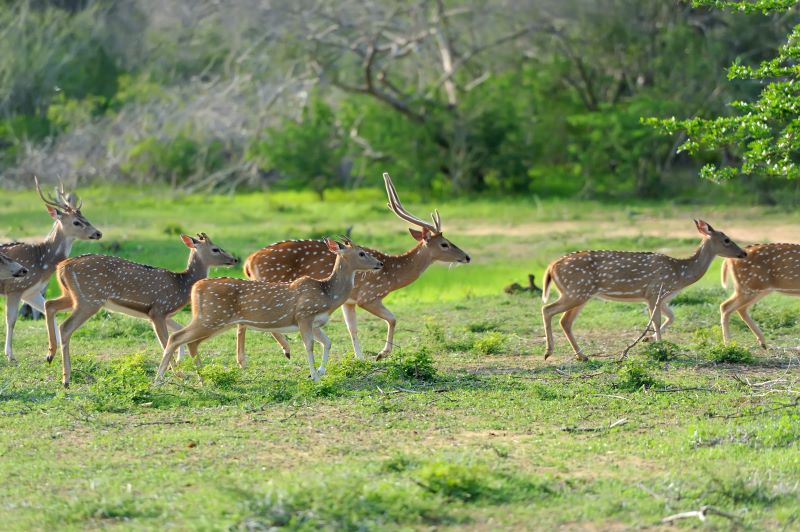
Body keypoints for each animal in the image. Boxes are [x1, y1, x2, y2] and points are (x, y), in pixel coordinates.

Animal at [0, 177, 101, 364]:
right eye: (76, 222)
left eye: (85, 217)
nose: (98, 233)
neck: (42, 262)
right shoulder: (15, 288)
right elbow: (11, 320)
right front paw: (10, 355)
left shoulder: (31, 292)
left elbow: (48, 311)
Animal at [44, 233, 238, 386]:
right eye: (215, 249)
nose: (234, 259)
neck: (181, 287)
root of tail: (62, 267)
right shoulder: (158, 310)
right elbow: (166, 341)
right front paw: (178, 374)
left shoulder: (165, 314)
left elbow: (177, 331)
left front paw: (179, 364)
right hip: (89, 299)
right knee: (65, 326)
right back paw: (66, 379)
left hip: (72, 296)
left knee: (50, 304)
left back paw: (50, 355)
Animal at [157, 238, 384, 382]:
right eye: (362, 253)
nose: (380, 263)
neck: (327, 294)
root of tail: (196, 287)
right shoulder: (304, 315)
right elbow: (309, 346)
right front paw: (314, 376)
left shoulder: (314, 322)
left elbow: (327, 342)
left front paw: (320, 371)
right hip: (211, 317)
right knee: (176, 337)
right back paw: (160, 380)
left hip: (215, 320)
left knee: (191, 342)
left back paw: (201, 377)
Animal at [238, 172, 472, 364]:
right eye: (445, 244)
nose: (467, 257)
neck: (394, 274)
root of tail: (248, 262)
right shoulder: (369, 295)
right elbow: (392, 318)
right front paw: (381, 354)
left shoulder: (349, 301)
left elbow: (353, 328)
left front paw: (360, 358)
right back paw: (281, 351)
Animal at [540, 220, 748, 362]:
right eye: (726, 239)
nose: (744, 253)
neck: (679, 275)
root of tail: (551, 266)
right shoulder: (654, 292)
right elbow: (656, 320)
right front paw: (660, 348)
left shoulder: (661, 298)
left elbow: (670, 317)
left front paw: (648, 339)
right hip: (576, 291)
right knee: (547, 309)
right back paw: (548, 352)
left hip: (580, 294)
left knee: (565, 321)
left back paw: (582, 355)